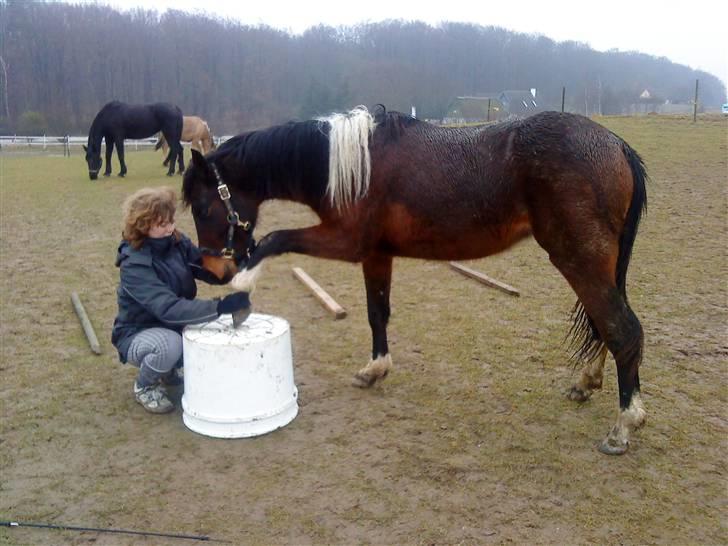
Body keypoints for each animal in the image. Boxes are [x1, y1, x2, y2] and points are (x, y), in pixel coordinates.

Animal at [182, 107, 648, 454]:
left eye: (203, 208)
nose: (213, 271)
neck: (352, 164)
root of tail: (617, 145)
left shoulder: (346, 241)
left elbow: (274, 239)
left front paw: (243, 288)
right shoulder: (376, 254)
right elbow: (377, 313)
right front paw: (375, 369)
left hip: (578, 258)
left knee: (621, 328)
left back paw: (624, 426)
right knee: (606, 323)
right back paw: (587, 383)